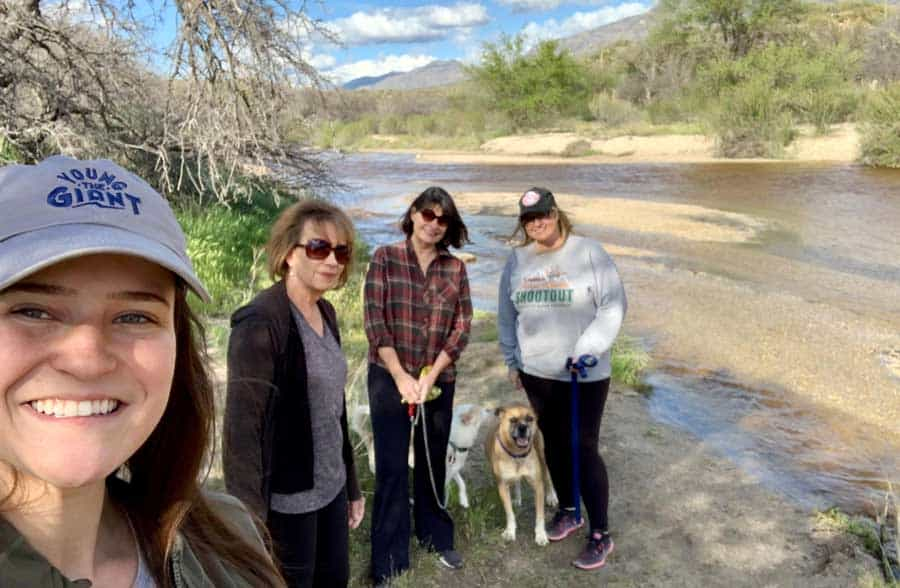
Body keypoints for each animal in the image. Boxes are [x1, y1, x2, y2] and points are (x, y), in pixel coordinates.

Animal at [486, 402, 556, 544]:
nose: (523, 427)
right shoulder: (502, 486)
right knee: (517, 481)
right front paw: (510, 531)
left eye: (530, 419)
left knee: (548, 477)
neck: (517, 455)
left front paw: (540, 534)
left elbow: (540, 515)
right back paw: (517, 498)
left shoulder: (538, 486)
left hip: (542, 456)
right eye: (512, 420)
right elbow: (509, 513)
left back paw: (552, 496)